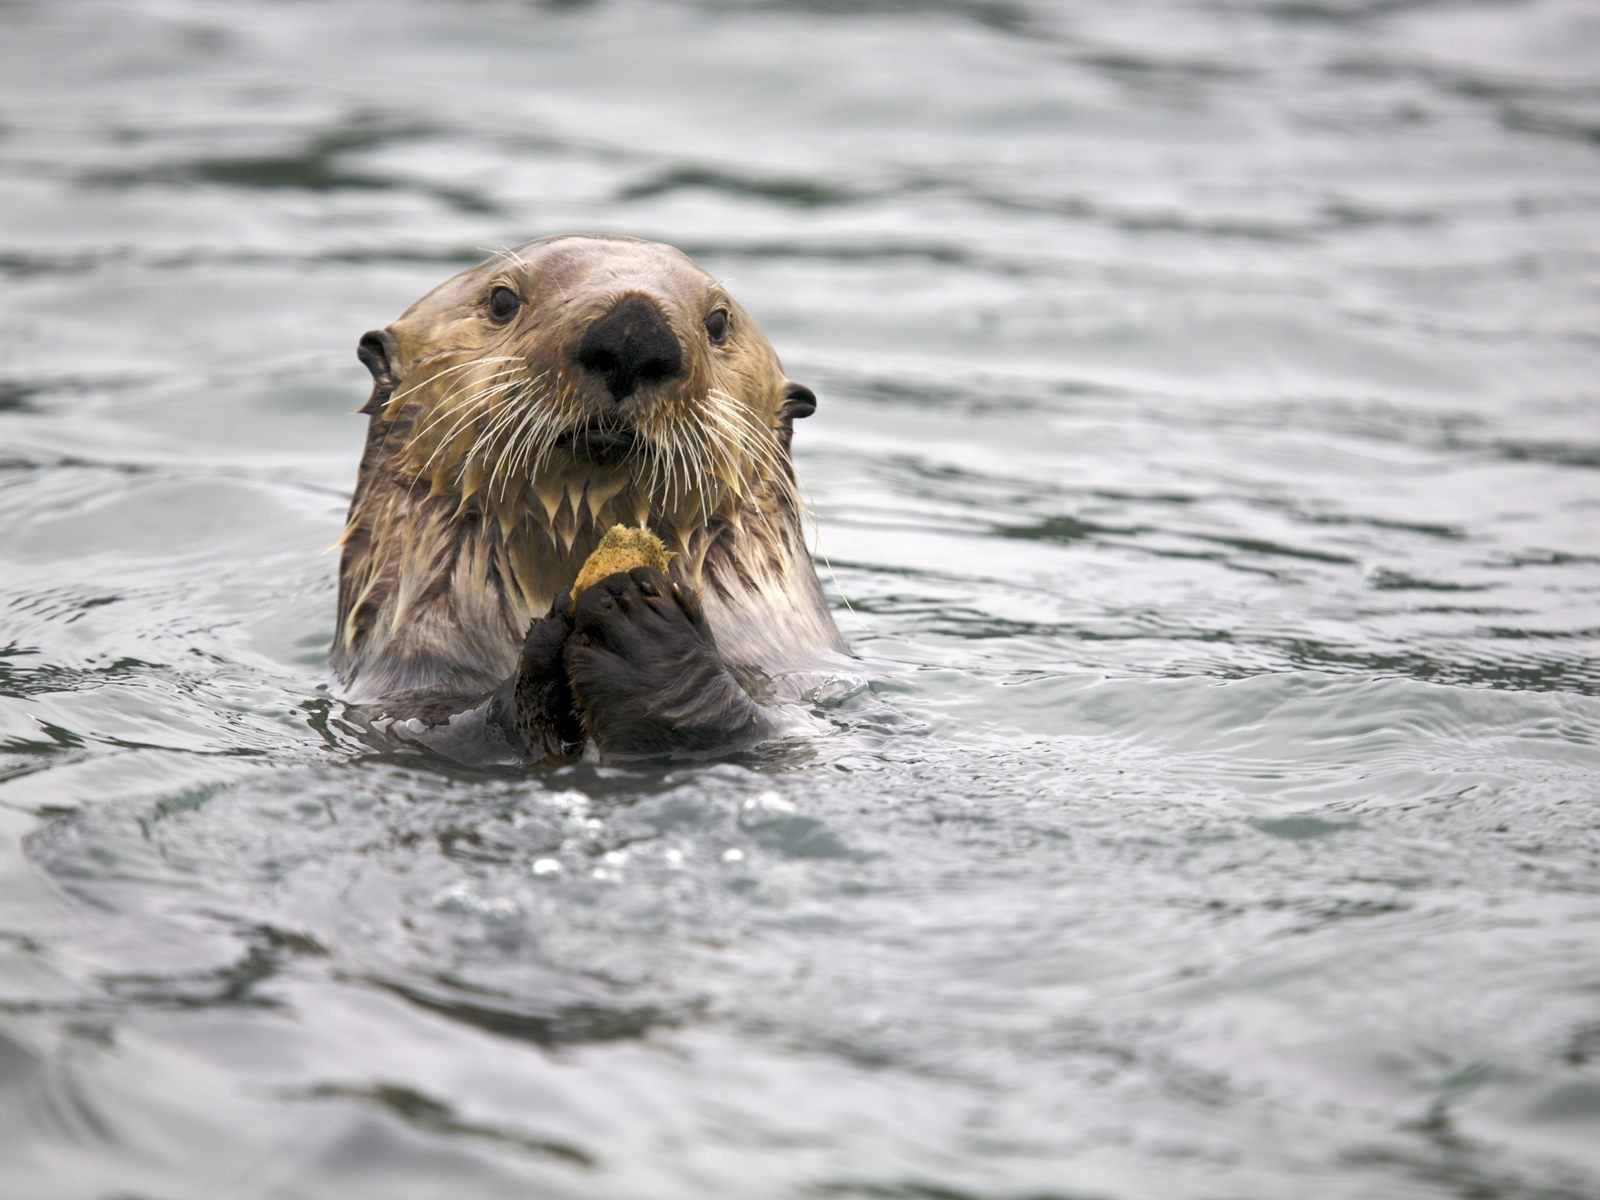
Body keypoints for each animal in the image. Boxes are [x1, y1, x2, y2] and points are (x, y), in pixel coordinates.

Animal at [334, 235, 851, 761]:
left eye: (719, 322)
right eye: (501, 300)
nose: (633, 333)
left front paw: (641, 624)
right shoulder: (399, 698)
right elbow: (447, 729)